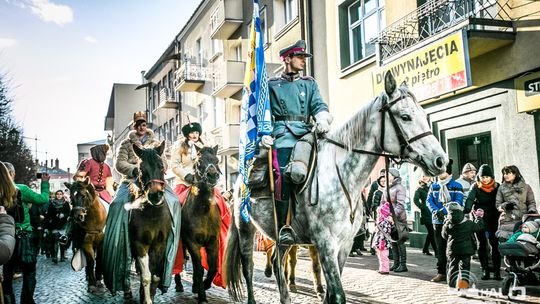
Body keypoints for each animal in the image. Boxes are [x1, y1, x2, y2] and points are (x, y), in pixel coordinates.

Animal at [181, 146, 221, 302]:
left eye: (216, 160)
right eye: (199, 161)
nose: (212, 175)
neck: (203, 211)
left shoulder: (213, 243)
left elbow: (212, 268)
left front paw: (205, 285)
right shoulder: (192, 243)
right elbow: (198, 268)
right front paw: (202, 295)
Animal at [224, 72, 448, 304]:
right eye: (405, 116)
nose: (441, 160)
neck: (343, 178)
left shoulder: (345, 244)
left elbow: (331, 294)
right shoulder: (325, 243)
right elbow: (338, 294)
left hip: (281, 237)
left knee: (278, 264)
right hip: (245, 228)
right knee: (248, 268)